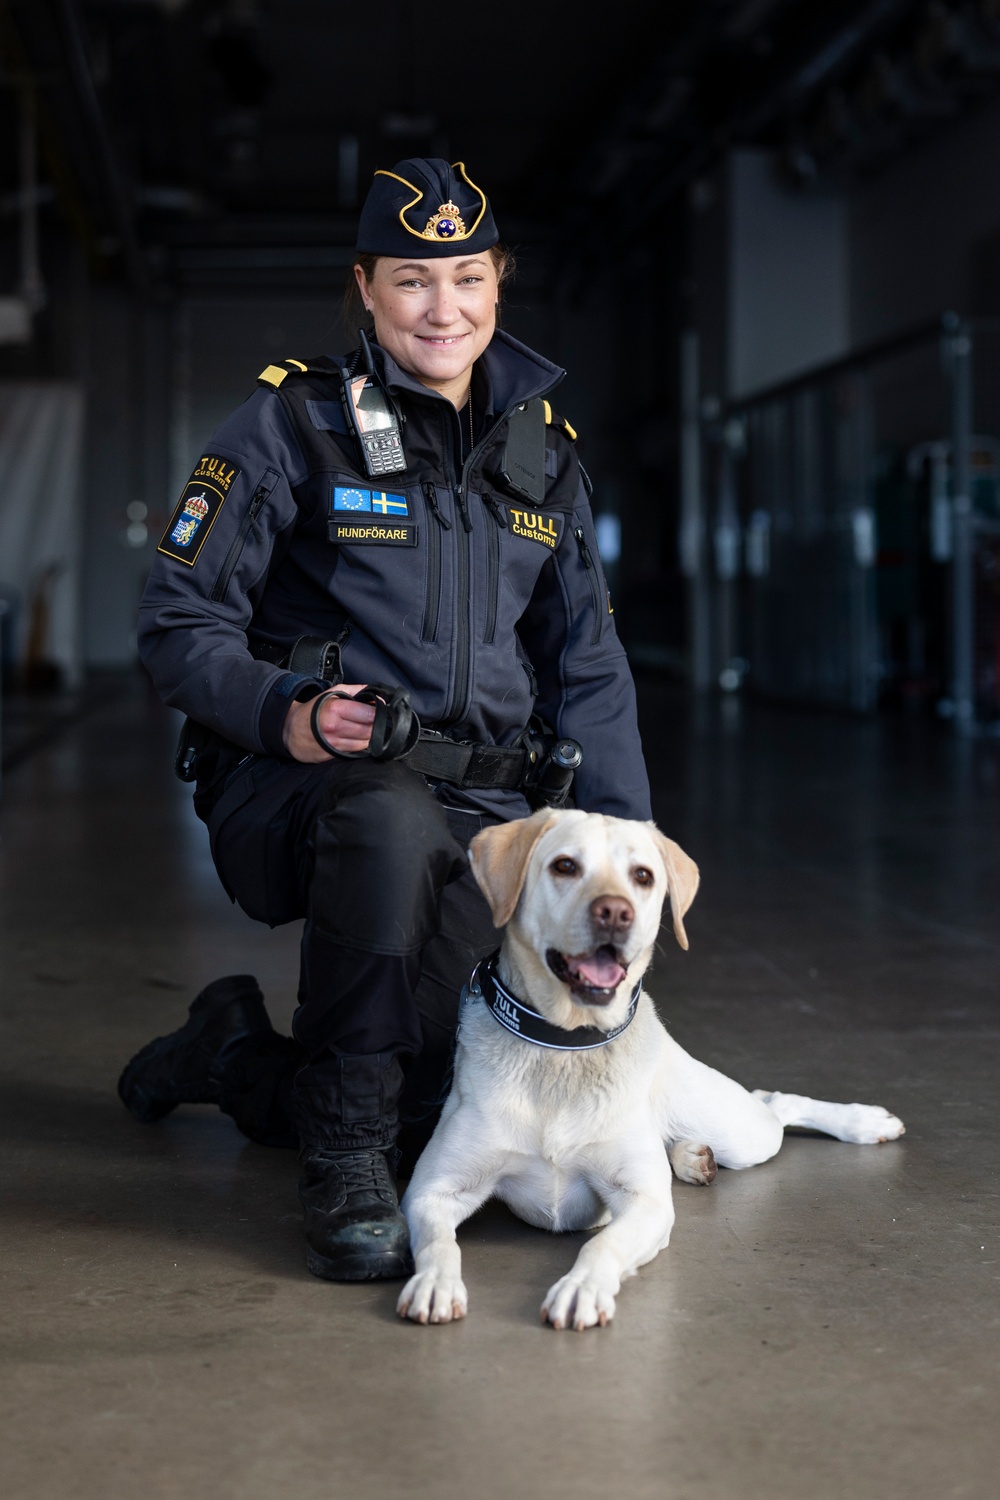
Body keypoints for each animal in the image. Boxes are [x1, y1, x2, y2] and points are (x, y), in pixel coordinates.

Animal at [398, 816, 905, 1332]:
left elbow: (602, 1243)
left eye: (642, 876)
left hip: (741, 1131)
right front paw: (435, 1283)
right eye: (565, 866)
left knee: (775, 1102)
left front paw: (582, 1289)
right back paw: (691, 1156)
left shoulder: (645, 1202)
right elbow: (438, 1242)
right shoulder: (431, 1191)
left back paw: (862, 1122)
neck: (565, 1048)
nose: (614, 913)